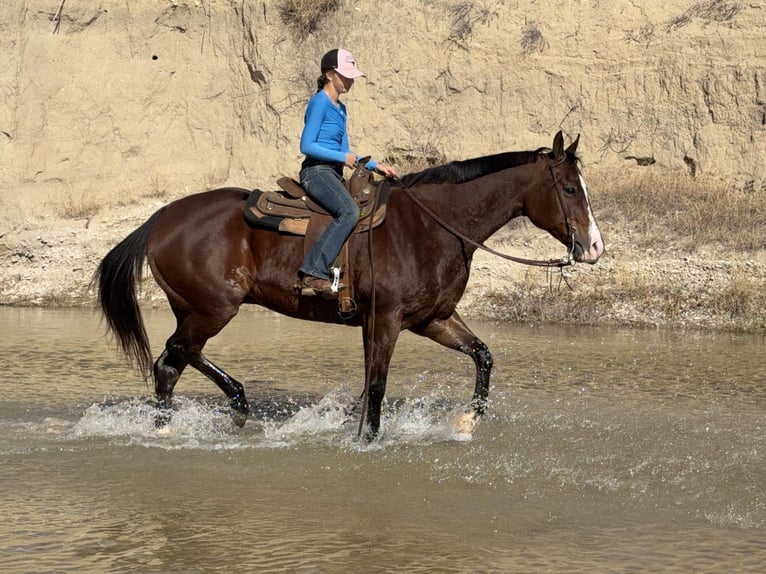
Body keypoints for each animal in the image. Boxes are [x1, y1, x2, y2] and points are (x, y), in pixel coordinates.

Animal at [93, 131, 604, 439]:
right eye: (570, 189)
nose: (595, 246)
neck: (433, 225)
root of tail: (161, 217)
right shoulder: (386, 320)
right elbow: (375, 387)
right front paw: (367, 441)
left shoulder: (432, 319)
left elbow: (482, 355)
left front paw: (465, 422)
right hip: (213, 309)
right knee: (169, 362)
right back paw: (170, 429)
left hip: (198, 309)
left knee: (181, 355)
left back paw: (236, 405)